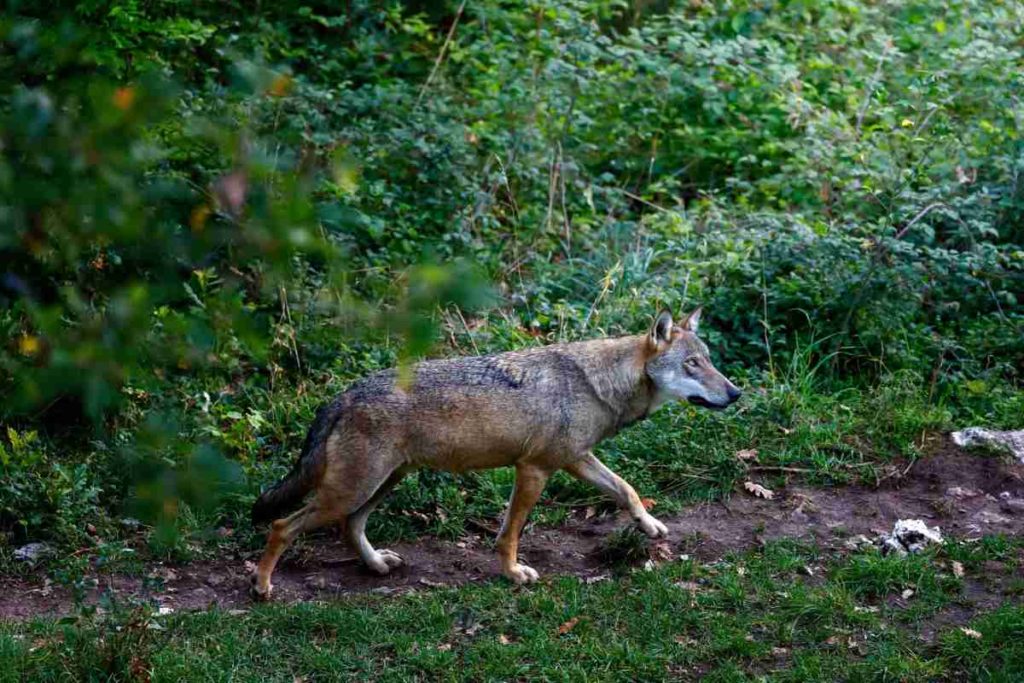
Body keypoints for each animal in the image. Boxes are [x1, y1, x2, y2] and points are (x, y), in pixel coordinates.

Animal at [250, 307, 741, 599]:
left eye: (710, 359)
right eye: (692, 364)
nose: (736, 393)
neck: (600, 383)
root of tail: (342, 395)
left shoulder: (575, 459)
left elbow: (627, 489)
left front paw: (650, 526)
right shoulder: (535, 469)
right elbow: (511, 533)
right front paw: (513, 573)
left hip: (380, 484)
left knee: (351, 527)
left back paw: (374, 565)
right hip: (352, 490)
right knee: (281, 525)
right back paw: (262, 585)